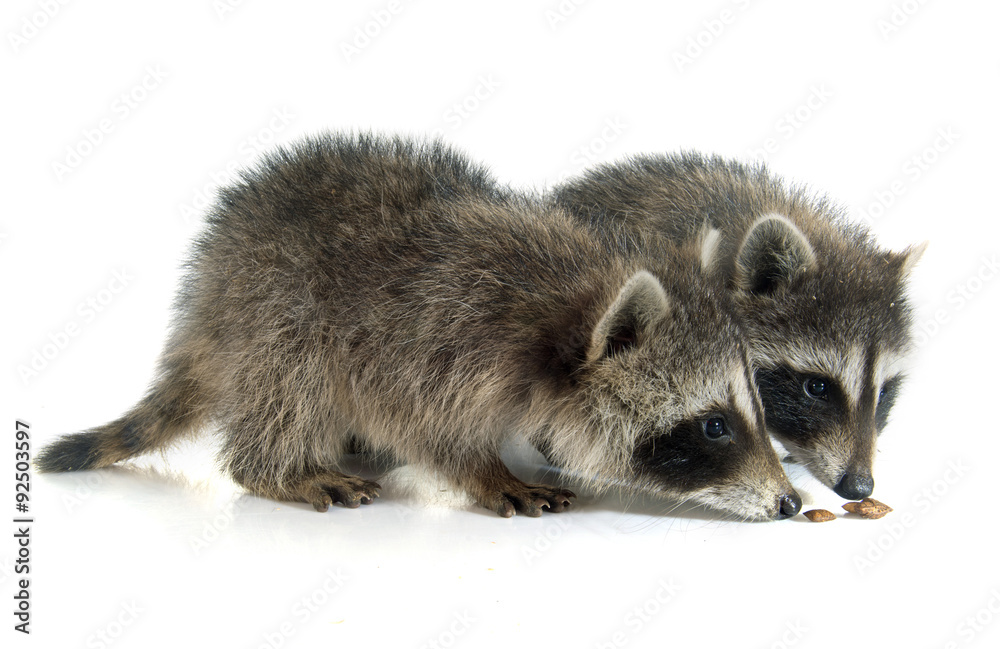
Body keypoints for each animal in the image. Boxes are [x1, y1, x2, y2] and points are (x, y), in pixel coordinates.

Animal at [37, 134, 801, 520]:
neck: (572, 298)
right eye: (713, 426)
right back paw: (277, 467)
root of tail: (206, 293)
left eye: (757, 406)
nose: (792, 501)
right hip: (276, 302)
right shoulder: (430, 335)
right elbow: (422, 422)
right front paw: (485, 469)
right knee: (290, 380)